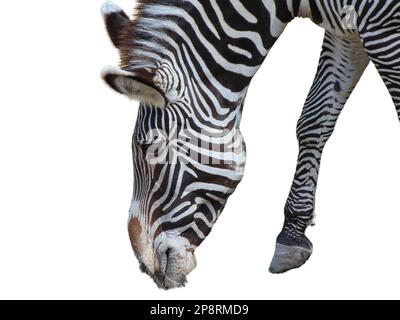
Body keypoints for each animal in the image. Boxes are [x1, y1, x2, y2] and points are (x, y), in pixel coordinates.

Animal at [101, 0, 400, 288]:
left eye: (152, 151)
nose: (146, 266)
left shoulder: (383, 25)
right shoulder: (346, 31)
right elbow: (313, 121)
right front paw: (292, 233)